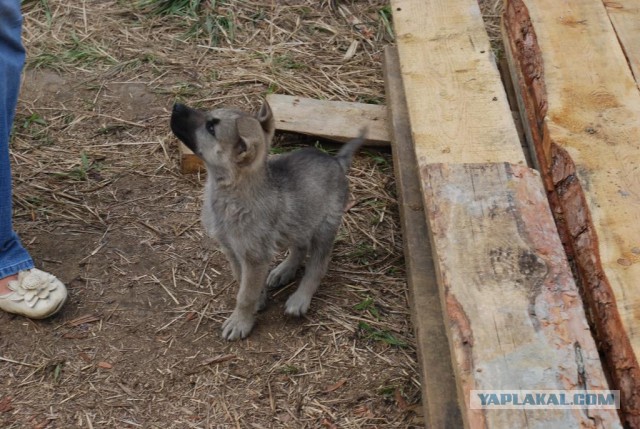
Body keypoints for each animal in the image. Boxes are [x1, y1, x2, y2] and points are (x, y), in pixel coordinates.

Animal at [171, 101, 364, 342]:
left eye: (211, 128)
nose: (176, 105)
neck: (230, 194)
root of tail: (336, 161)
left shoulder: (254, 258)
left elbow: (245, 295)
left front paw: (240, 322)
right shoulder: (233, 251)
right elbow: (242, 281)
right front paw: (259, 299)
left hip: (324, 228)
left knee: (317, 265)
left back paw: (300, 298)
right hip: (299, 221)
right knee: (299, 248)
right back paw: (284, 270)